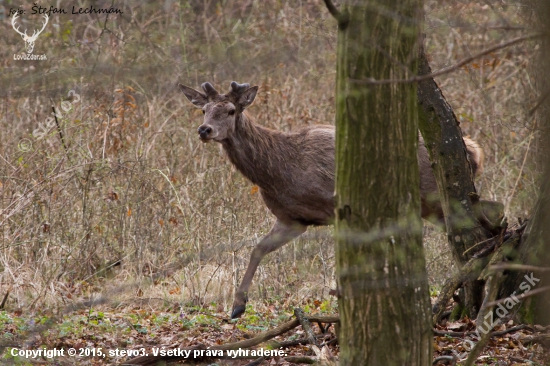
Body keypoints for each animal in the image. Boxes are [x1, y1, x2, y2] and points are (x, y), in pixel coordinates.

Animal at [179, 80, 486, 318]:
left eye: (231, 110)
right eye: (204, 110)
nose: (204, 130)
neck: (280, 171)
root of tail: (476, 152)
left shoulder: (335, 207)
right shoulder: (293, 219)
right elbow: (257, 249)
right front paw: (237, 307)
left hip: (438, 201)